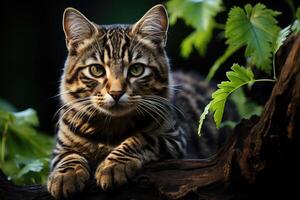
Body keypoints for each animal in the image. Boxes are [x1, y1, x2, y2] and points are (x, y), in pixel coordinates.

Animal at [47, 4, 220, 198]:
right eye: (96, 70)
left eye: (136, 69)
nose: (116, 93)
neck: (112, 126)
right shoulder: (60, 146)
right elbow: (67, 156)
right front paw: (65, 175)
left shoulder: (176, 139)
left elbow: (142, 138)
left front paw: (113, 165)